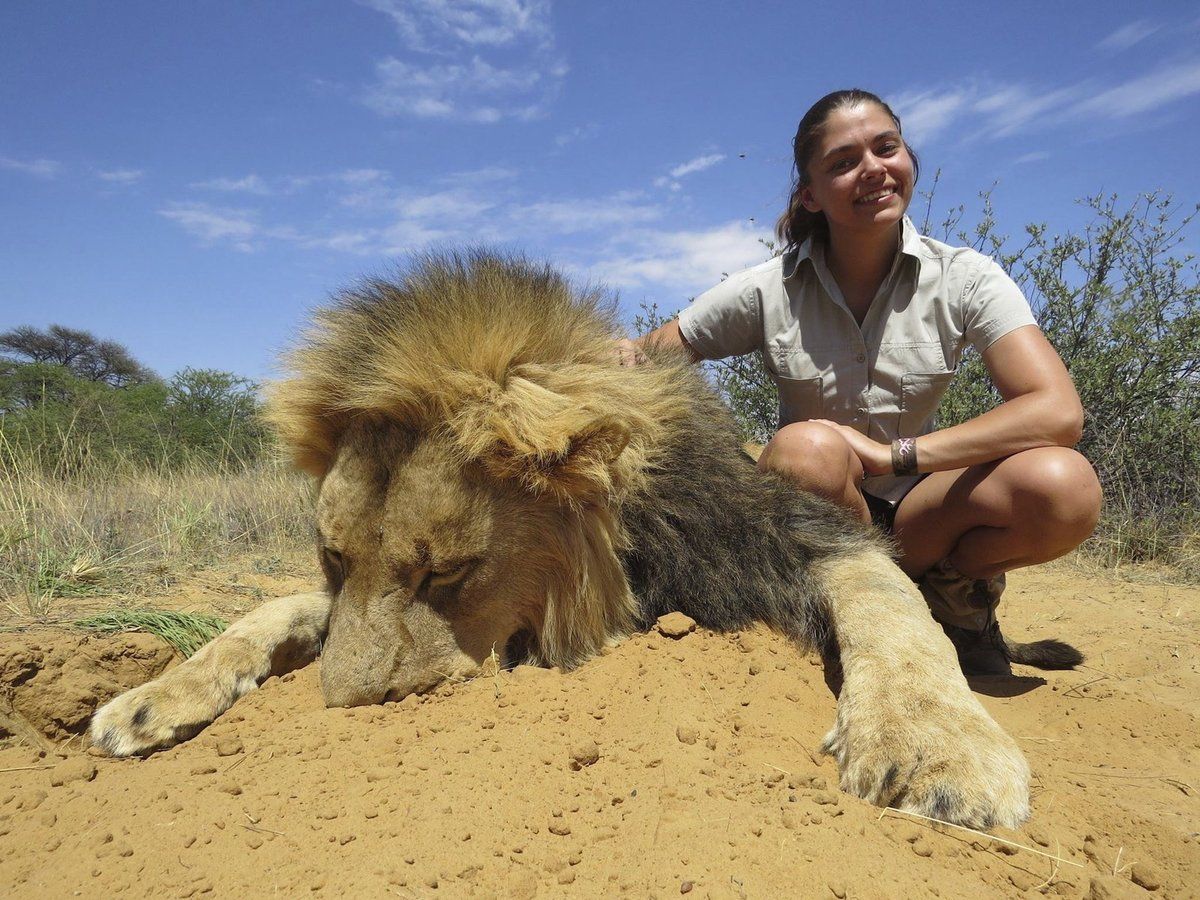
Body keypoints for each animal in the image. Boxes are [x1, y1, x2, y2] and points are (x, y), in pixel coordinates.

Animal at [93, 252, 1070, 830]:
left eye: (447, 572)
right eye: (334, 557)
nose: (347, 710)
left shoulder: (774, 533)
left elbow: (889, 602)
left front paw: (935, 749)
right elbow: (273, 608)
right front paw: (150, 698)